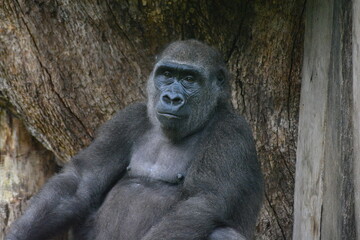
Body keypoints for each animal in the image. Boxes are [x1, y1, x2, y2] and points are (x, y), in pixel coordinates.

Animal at [5, 40, 264, 239]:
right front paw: (16, 235)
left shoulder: (232, 131)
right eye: (167, 74)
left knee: (220, 233)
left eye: (190, 79)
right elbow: (81, 182)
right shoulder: (127, 119)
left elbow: (200, 201)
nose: (171, 98)